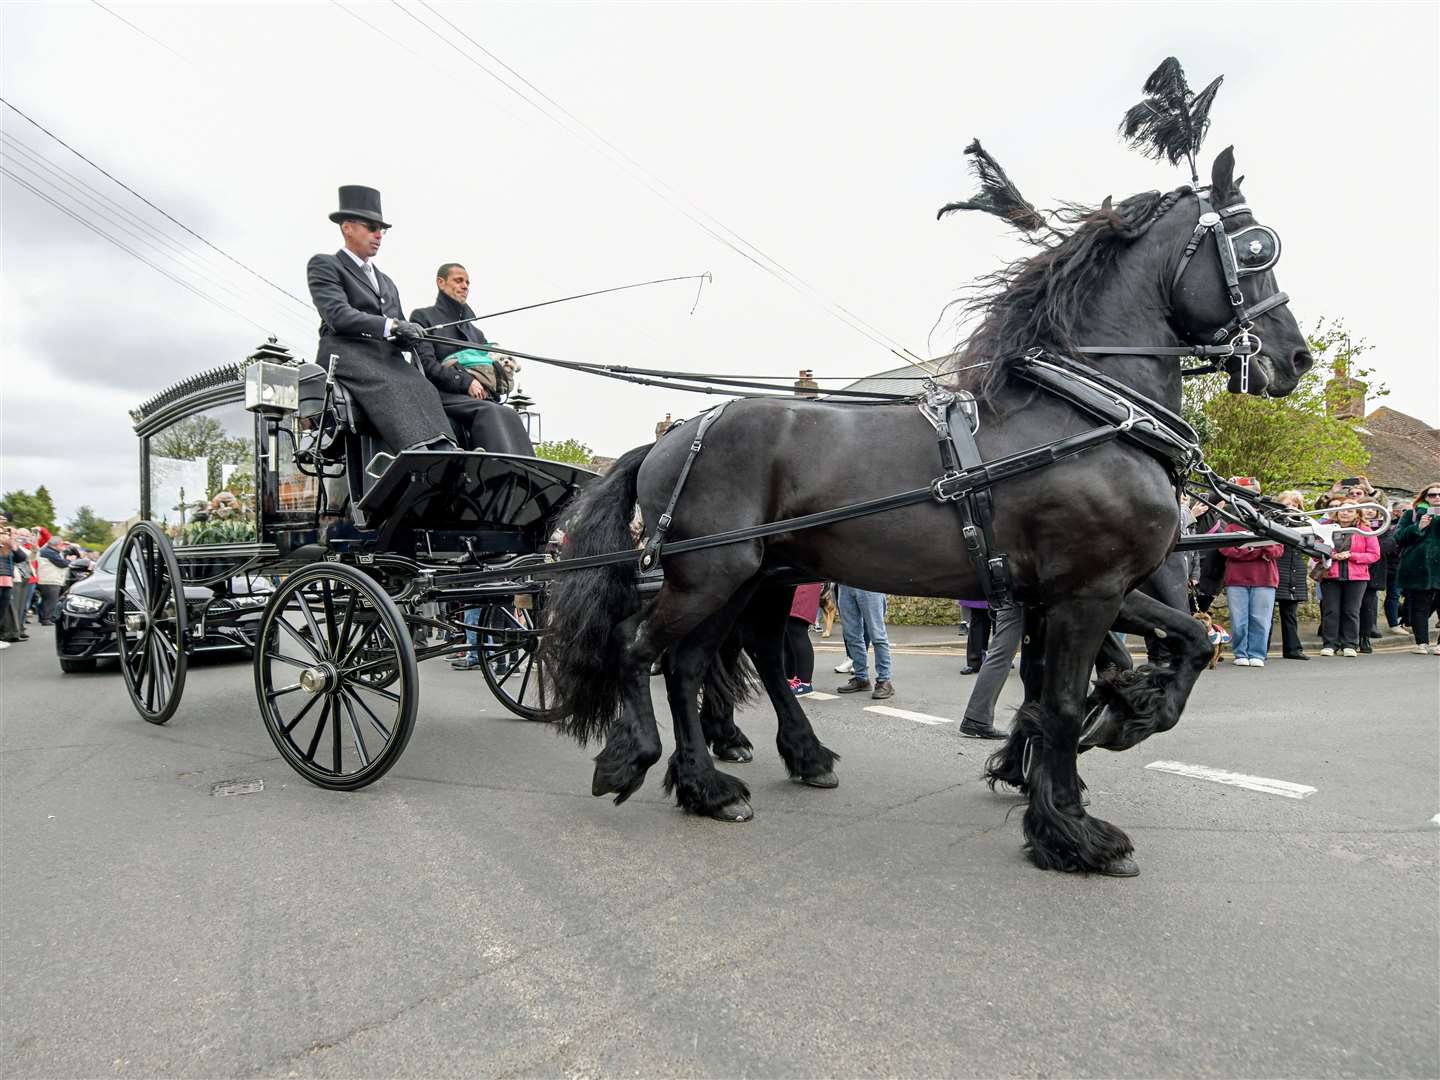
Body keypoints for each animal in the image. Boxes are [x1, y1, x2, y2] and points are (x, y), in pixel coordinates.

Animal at [541, 150, 1307, 881]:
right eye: (1256, 247)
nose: (1293, 358)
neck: (1087, 413)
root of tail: (671, 436)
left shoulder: (1083, 591)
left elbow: (1181, 645)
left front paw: (1116, 721)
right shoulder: (1088, 591)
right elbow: (1066, 701)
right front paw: (1074, 830)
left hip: (743, 577)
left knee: (692, 664)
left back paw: (720, 782)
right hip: (708, 574)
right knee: (640, 647)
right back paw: (639, 760)